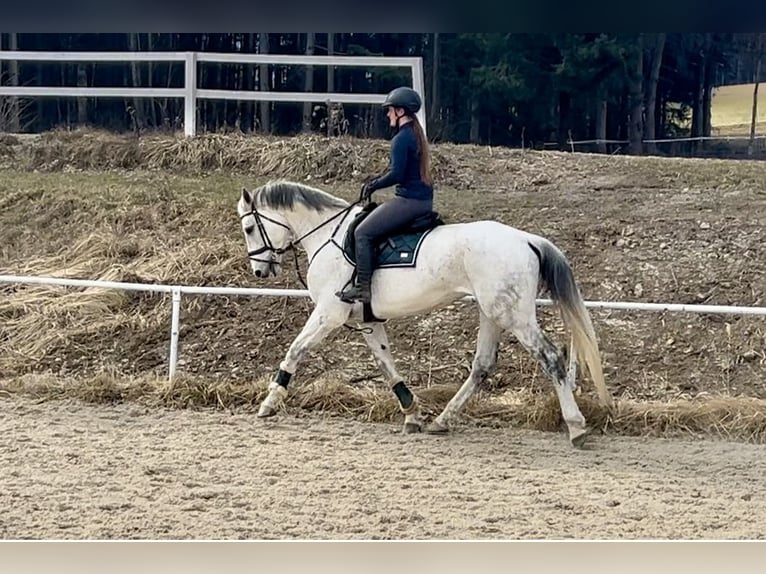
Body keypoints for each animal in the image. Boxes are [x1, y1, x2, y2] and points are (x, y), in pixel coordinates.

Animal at [237, 181, 616, 450]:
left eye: (249, 229)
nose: (260, 271)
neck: (327, 235)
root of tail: (527, 240)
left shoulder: (329, 314)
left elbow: (295, 351)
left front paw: (270, 401)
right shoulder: (368, 322)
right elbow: (387, 367)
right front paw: (413, 414)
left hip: (513, 317)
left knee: (550, 358)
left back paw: (576, 427)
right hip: (492, 313)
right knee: (482, 365)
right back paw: (442, 421)